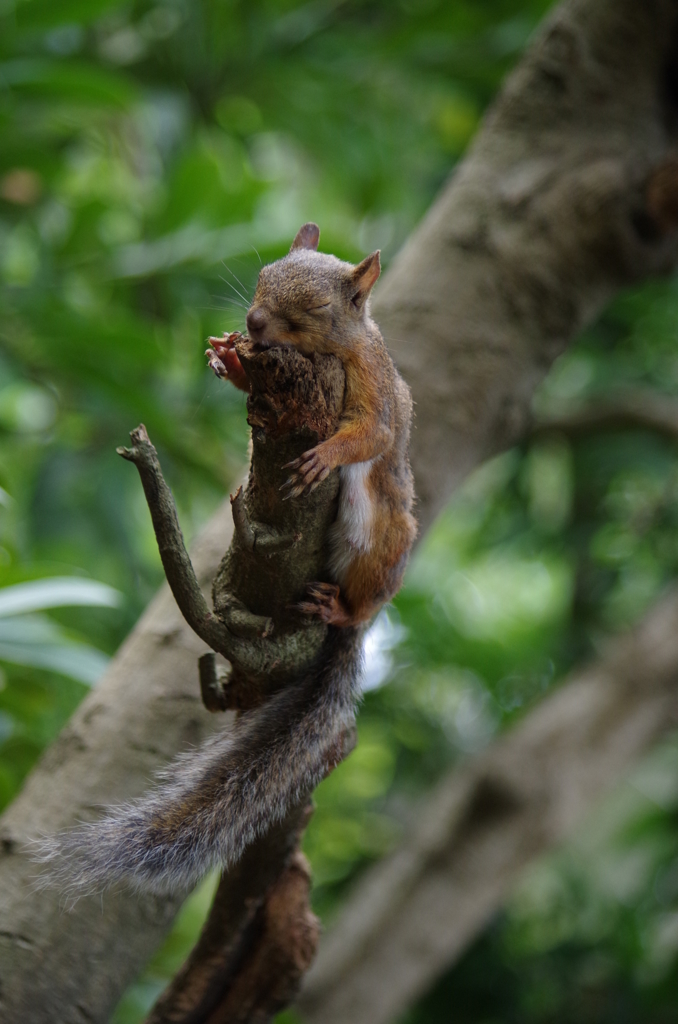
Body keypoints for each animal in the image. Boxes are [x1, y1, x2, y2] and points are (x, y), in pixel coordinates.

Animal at [41, 222, 419, 888]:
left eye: (314, 307)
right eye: (264, 276)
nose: (253, 321)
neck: (341, 347)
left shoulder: (373, 387)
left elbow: (368, 434)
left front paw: (326, 455)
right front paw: (230, 359)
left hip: (384, 547)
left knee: (364, 596)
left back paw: (342, 609)